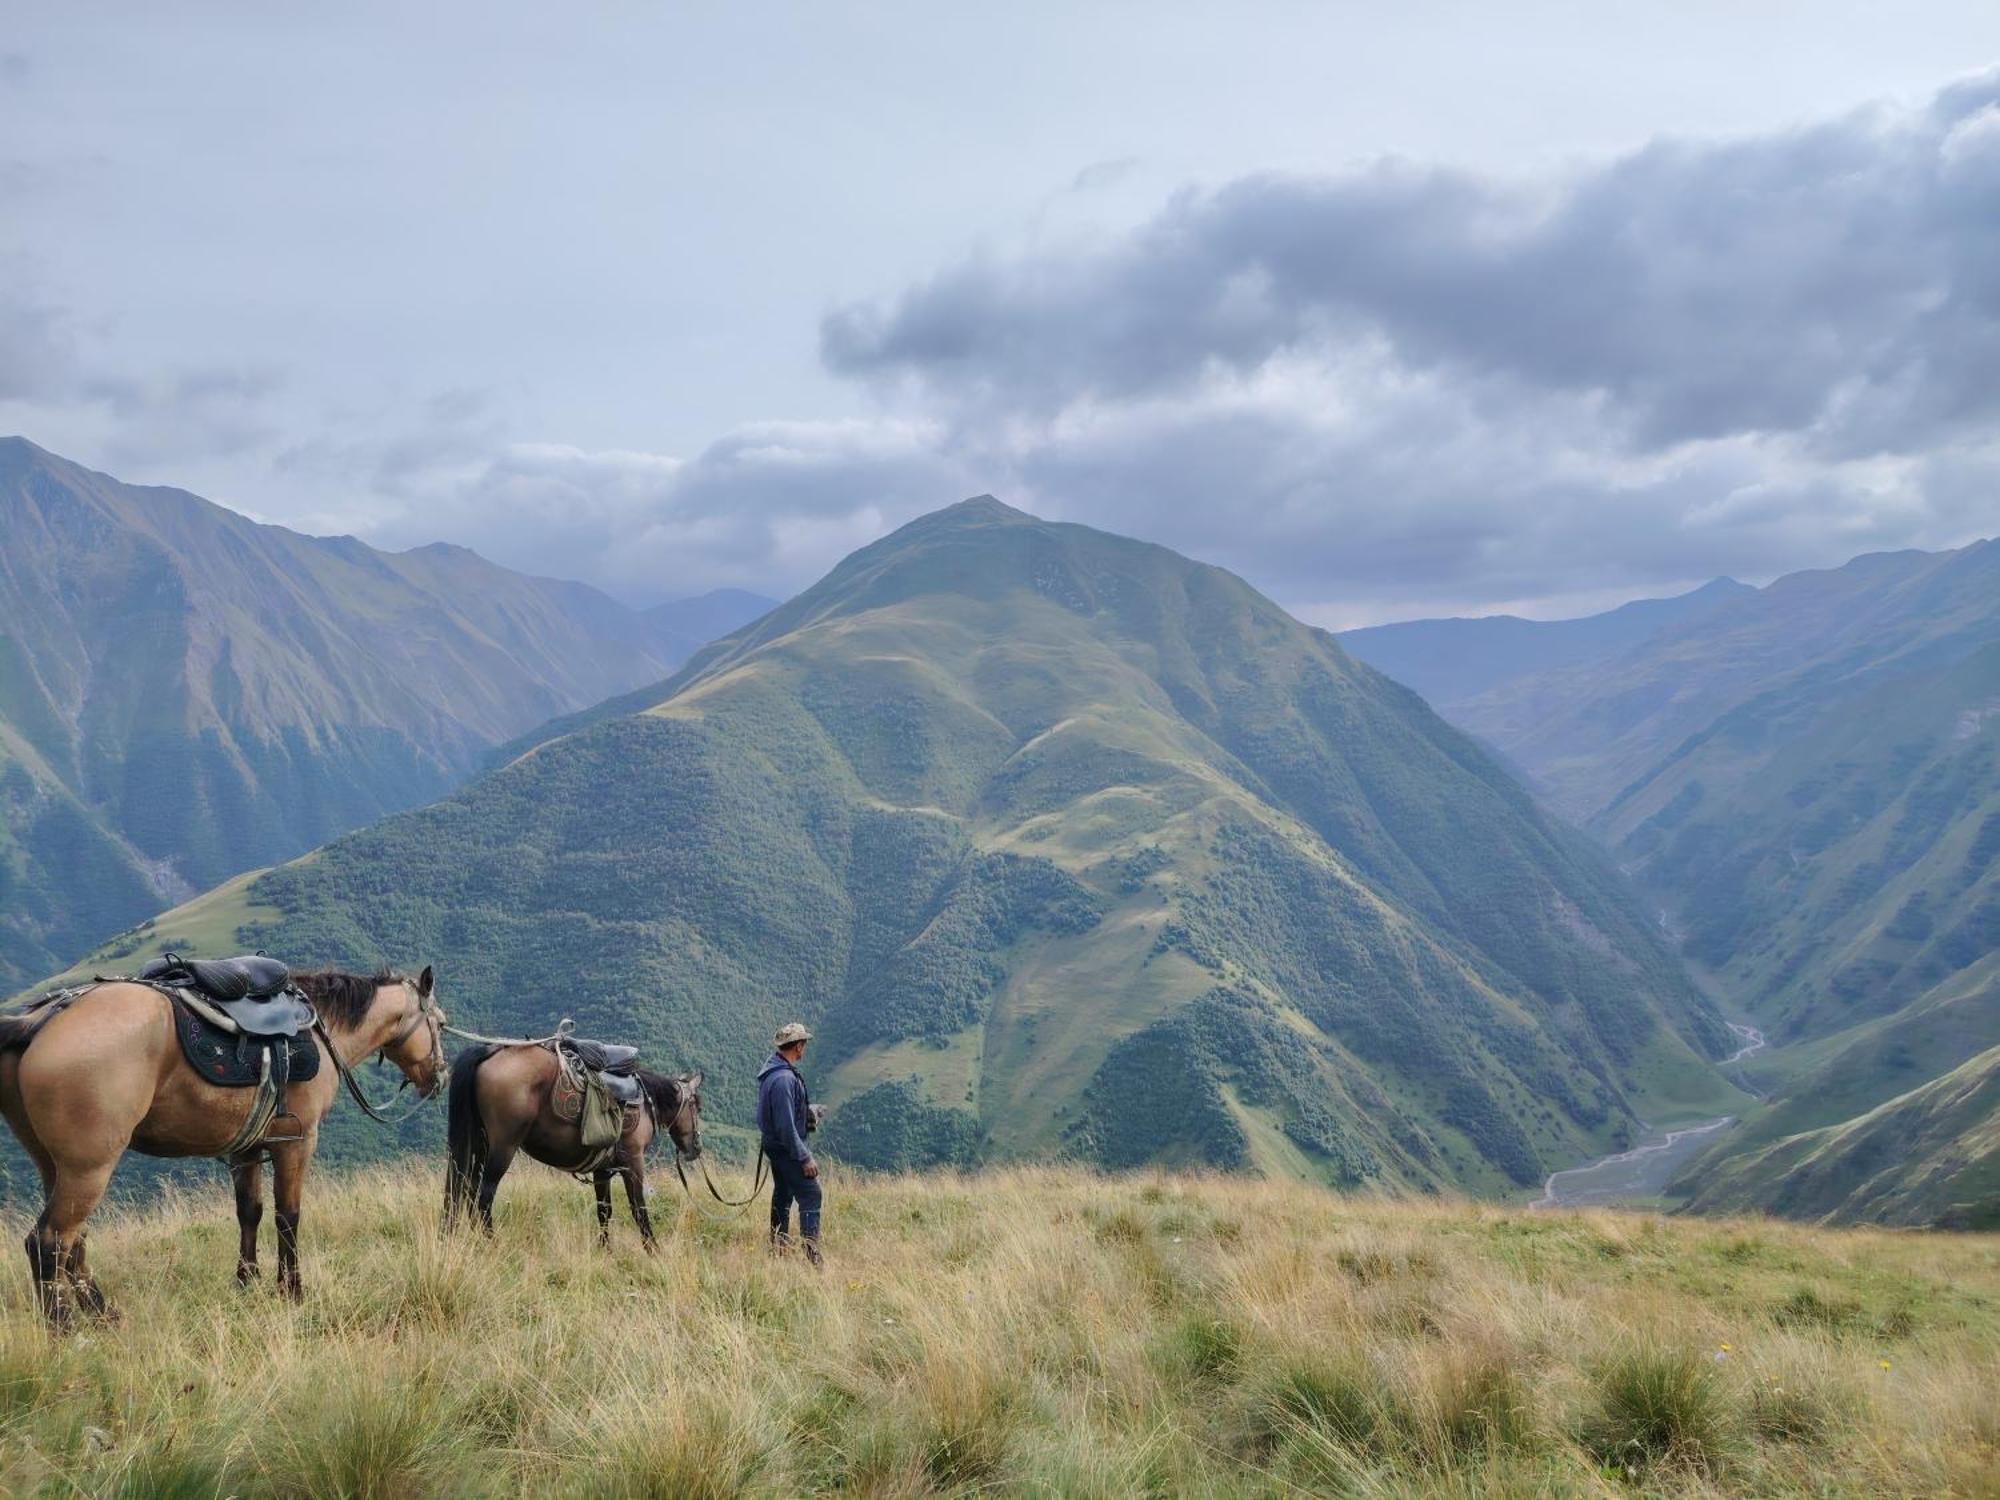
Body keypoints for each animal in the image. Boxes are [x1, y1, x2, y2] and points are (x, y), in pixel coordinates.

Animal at [0, 964, 442, 1328]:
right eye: (440, 1022)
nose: (440, 1075)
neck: (321, 1028)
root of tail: (39, 1021)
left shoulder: (246, 1149)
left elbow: (250, 1211)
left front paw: (247, 1281)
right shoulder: (297, 1143)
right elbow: (288, 1216)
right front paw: (292, 1289)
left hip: (55, 1168)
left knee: (74, 1240)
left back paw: (102, 1313)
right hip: (89, 1169)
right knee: (48, 1242)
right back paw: (65, 1328)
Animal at [446, 1040, 704, 1248]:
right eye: (697, 1107)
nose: (696, 1148)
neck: (645, 1101)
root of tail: (493, 1050)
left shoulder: (603, 1169)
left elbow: (604, 1210)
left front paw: (605, 1251)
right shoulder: (633, 1162)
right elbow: (638, 1208)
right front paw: (653, 1250)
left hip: (481, 1146)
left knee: (469, 1191)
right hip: (503, 1148)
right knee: (484, 1196)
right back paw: (492, 1243)